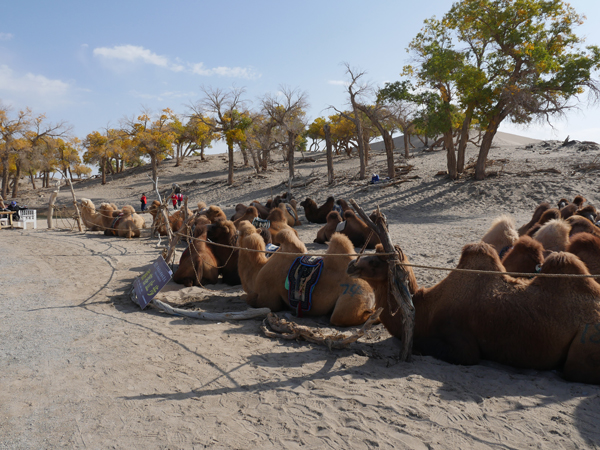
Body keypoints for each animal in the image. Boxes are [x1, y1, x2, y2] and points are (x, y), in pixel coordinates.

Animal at [238, 225, 376, 326]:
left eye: (239, 233)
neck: (258, 270)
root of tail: (371, 291)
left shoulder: (268, 297)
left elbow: (250, 299)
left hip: (352, 299)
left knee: (343, 317)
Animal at [346, 241, 600, 384]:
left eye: (376, 262)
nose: (351, 265)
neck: (426, 309)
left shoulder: (461, 343)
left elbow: (431, 345)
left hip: (587, 341)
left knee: (573, 371)